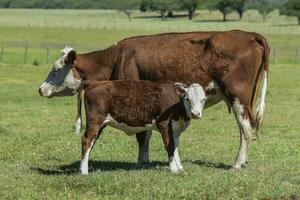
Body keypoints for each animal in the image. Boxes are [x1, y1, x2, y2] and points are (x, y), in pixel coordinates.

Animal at [77, 80, 206, 174]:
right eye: (188, 99)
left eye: (203, 99)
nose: (195, 114)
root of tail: (94, 82)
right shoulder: (164, 124)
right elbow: (169, 146)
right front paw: (173, 169)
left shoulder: (175, 129)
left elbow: (175, 147)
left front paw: (179, 167)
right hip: (95, 120)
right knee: (86, 140)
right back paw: (84, 171)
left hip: (100, 124)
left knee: (91, 142)